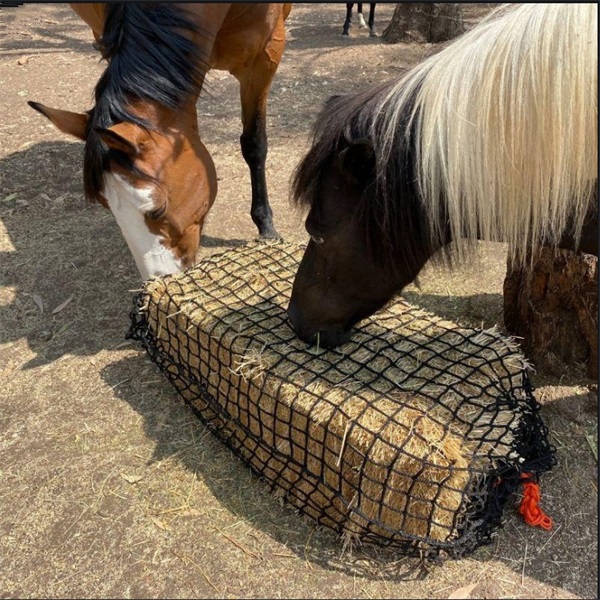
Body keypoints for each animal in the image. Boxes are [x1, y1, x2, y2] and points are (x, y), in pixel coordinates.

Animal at [29, 2, 292, 278]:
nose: (157, 279)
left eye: (157, 211)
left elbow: (254, 143)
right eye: (105, 206)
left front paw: (267, 228)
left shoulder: (265, 57)